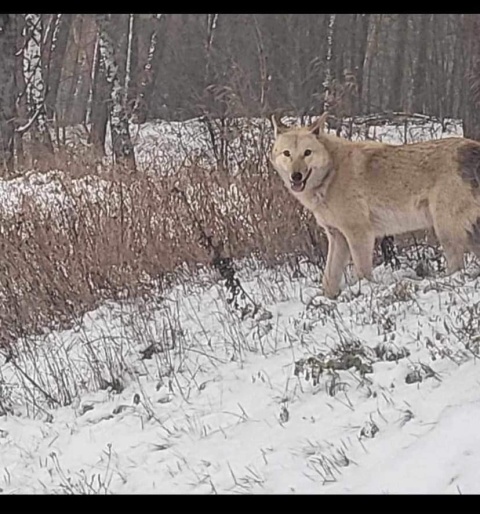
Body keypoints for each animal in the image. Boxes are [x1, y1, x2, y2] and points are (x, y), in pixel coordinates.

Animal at [272, 112, 480, 296]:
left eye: (307, 153)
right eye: (287, 154)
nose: (296, 176)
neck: (331, 174)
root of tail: (473, 149)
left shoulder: (360, 234)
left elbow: (363, 273)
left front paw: (364, 292)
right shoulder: (337, 237)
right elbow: (329, 279)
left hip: (446, 232)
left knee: (457, 268)